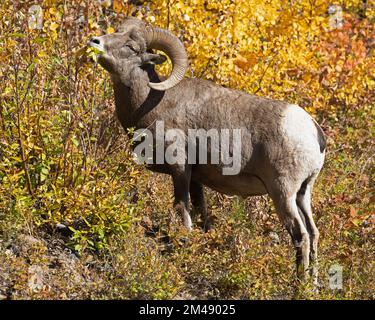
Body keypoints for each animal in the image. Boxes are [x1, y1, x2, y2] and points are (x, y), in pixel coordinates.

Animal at [88, 17, 326, 282]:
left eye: (131, 47)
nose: (95, 42)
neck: (151, 102)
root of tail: (314, 131)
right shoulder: (196, 178)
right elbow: (202, 214)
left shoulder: (180, 169)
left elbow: (182, 209)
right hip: (303, 193)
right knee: (313, 232)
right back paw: (313, 284)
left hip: (282, 193)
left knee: (300, 235)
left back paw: (300, 283)